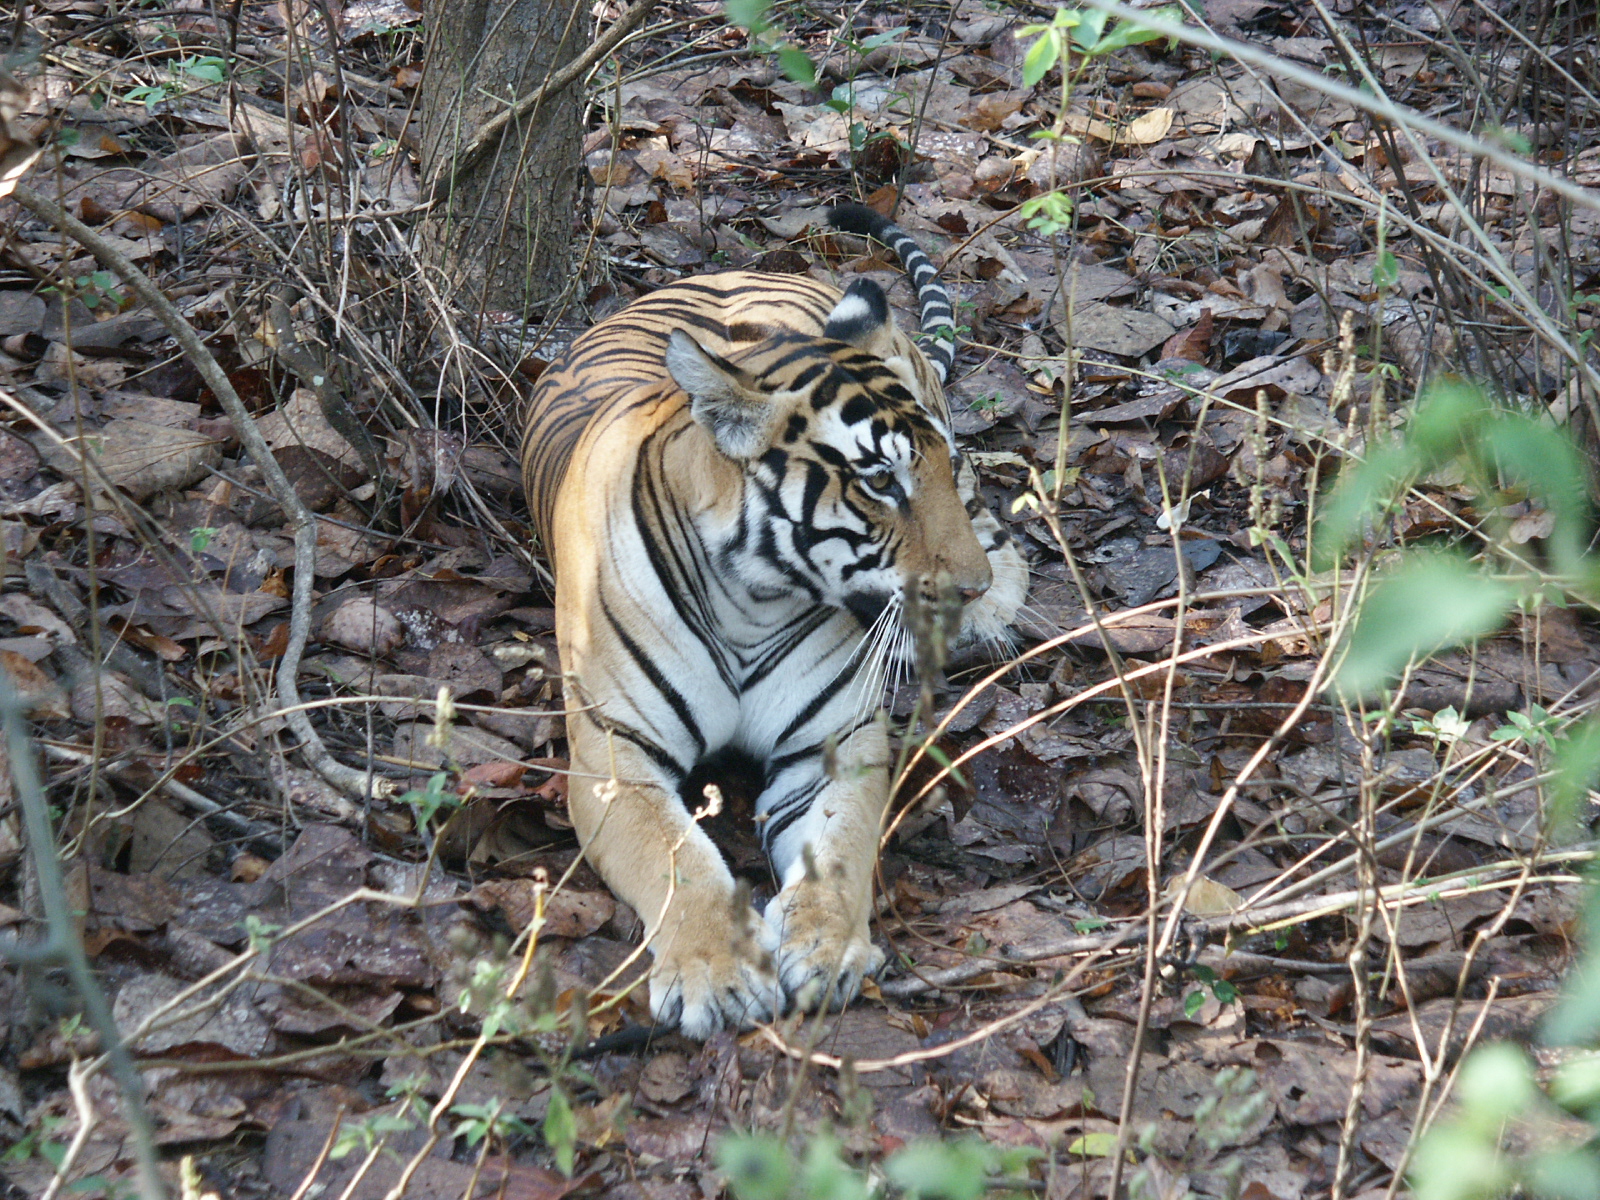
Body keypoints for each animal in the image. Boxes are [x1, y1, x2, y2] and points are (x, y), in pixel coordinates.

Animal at [518, 202, 1030, 1036]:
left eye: (939, 472)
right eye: (880, 483)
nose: (967, 587)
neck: (750, 604)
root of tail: (740, 269)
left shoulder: (834, 743)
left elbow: (842, 846)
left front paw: (826, 948)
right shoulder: (615, 756)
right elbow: (676, 857)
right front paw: (718, 975)